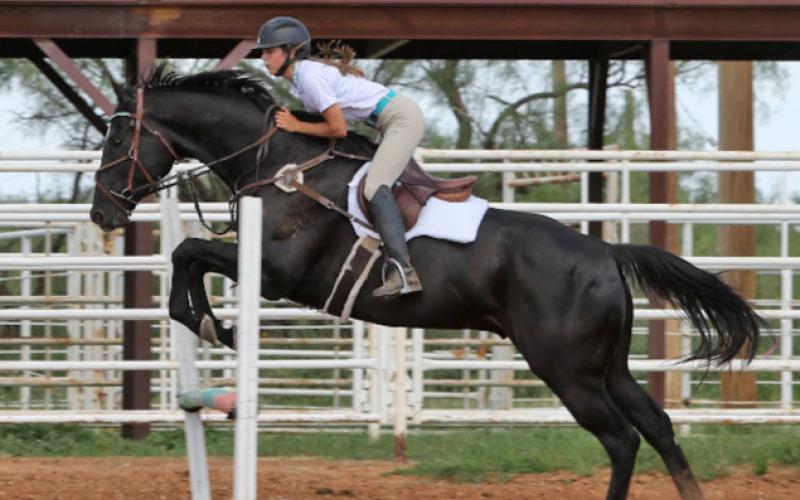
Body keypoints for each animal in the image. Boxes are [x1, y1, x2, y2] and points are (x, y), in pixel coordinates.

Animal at [90, 66, 762, 500]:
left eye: (118, 137)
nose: (102, 214)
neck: (277, 163)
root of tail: (604, 252)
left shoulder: (278, 276)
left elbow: (188, 251)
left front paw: (212, 324)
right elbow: (188, 256)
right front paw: (210, 322)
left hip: (567, 370)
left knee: (622, 440)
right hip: (606, 365)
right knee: (658, 427)